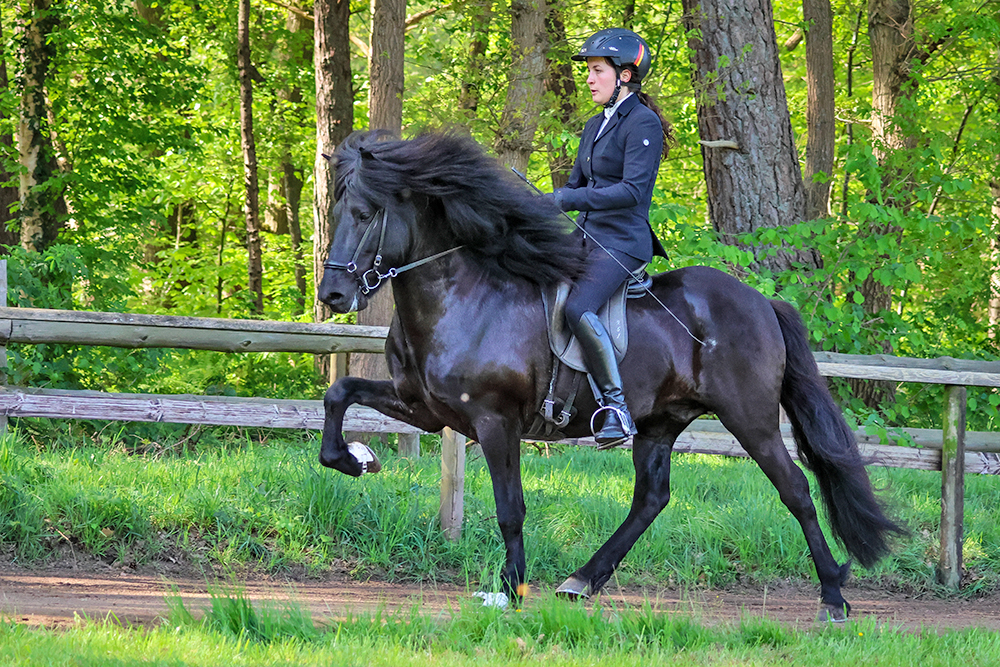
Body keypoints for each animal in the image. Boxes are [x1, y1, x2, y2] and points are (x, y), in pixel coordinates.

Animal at [316, 129, 904, 620]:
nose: (333, 295)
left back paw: (834, 596)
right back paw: (582, 580)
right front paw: (353, 460)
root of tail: (762, 302)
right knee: (651, 498)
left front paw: (509, 590)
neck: (462, 297)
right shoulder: (423, 407)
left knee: (796, 491)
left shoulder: (494, 421)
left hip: (750, 418)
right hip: (660, 422)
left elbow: (511, 508)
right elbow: (338, 393)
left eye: (365, 213)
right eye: (338, 209)